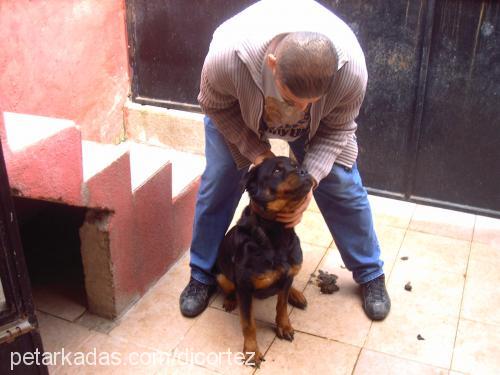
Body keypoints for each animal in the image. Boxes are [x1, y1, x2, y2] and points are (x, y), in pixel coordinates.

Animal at [214, 156, 312, 368]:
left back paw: (296, 294)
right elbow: (248, 323)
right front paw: (252, 351)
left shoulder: (287, 275)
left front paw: (284, 326)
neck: (277, 232)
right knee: (228, 287)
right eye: (276, 171)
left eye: (296, 165)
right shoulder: (245, 288)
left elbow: (281, 306)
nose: (304, 171)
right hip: (220, 274)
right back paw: (230, 299)